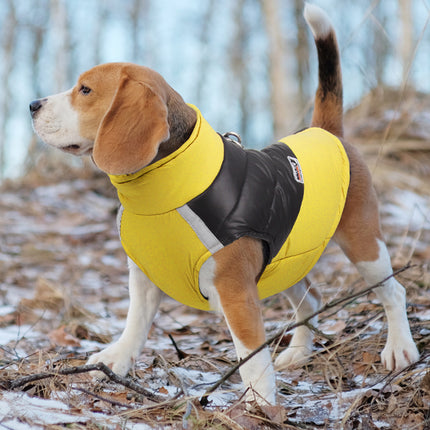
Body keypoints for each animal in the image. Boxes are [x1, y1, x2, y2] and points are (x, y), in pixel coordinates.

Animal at [29, 4, 416, 406]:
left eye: (85, 89)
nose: (32, 105)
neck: (165, 191)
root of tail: (325, 131)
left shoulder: (235, 291)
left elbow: (252, 358)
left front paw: (259, 405)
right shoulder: (145, 275)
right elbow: (135, 323)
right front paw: (116, 360)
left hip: (363, 243)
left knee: (393, 292)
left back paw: (400, 348)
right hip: (284, 259)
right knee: (311, 298)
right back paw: (298, 352)